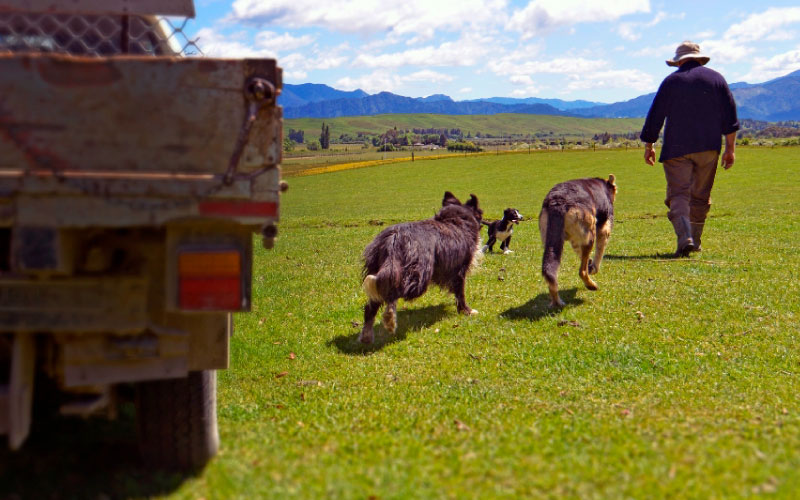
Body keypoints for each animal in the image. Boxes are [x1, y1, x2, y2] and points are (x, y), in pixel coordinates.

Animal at [360, 191, 484, 344]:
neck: (455, 219)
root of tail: (394, 238)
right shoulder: (459, 271)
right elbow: (460, 294)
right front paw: (466, 311)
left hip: (382, 267)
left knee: (371, 305)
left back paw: (366, 335)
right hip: (418, 279)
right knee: (392, 292)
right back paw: (390, 319)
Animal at [536, 176, 620, 308]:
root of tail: (558, 202)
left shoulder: (576, 241)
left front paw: (590, 264)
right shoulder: (604, 229)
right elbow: (598, 255)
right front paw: (593, 268)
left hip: (551, 241)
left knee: (551, 275)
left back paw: (556, 301)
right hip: (590, 236)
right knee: (582, 271)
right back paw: (591, 285)